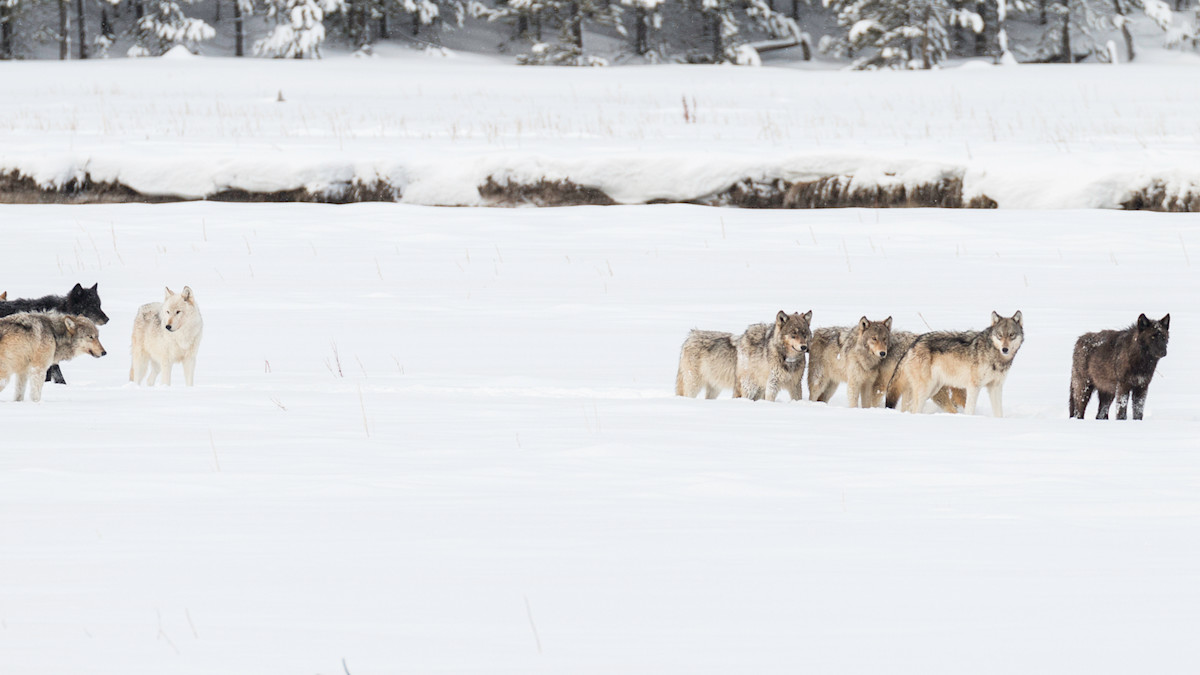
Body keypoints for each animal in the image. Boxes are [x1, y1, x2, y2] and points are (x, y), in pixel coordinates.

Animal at [890, 311, 1024, 416]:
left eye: (1011, 335)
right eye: (1000, 335)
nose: (1005, 349)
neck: (994, 356)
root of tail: (912, 345)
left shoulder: (996, 387)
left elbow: (999, 413)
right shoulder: (973, 387)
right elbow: (970, 410)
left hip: (933, 389)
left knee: (910, 406)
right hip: (926, 389)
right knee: (914, 408)